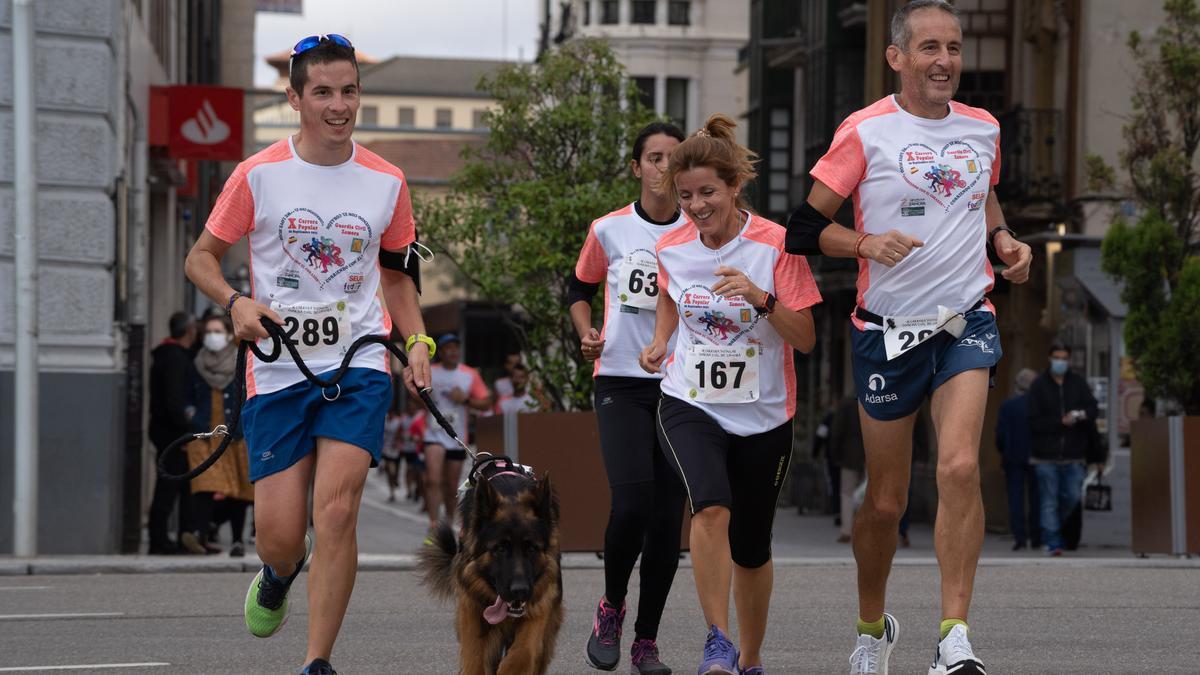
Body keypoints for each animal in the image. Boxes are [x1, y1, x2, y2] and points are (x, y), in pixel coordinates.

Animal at [420, 456, 564, 672]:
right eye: (500, 548)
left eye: (531, 548)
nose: (520, 591)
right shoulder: (471, 608)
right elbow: (473, 659)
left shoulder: (541, 605)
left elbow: (522, 654)